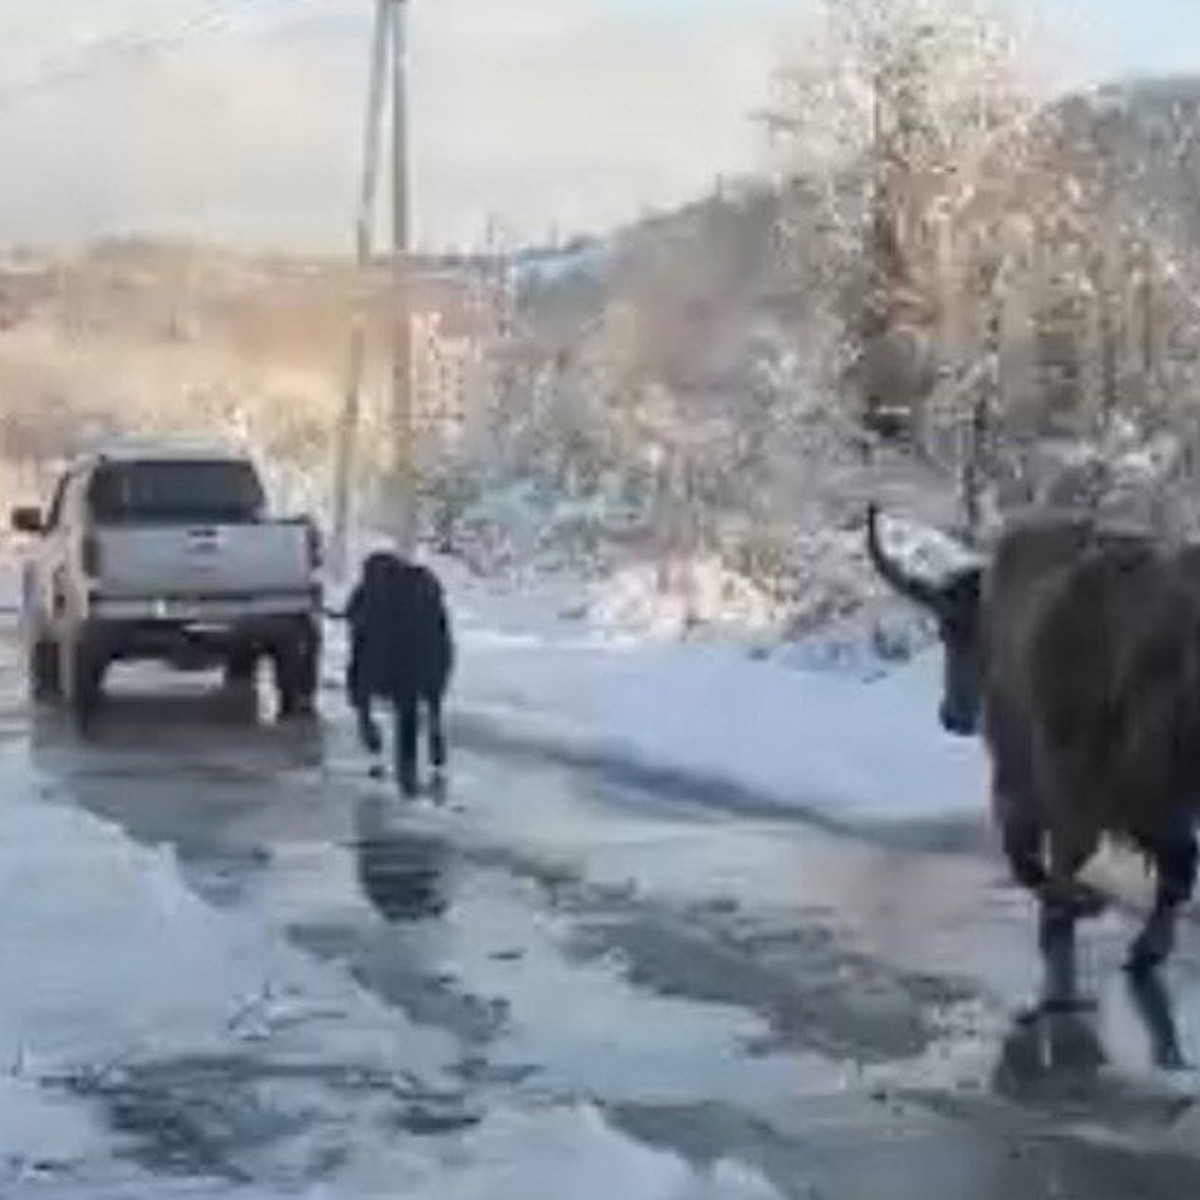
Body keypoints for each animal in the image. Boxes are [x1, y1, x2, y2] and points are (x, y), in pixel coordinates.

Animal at [868, 501, 1200, 1008]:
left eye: (948, 630)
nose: (951, 715)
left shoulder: (1029, 769)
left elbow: (1028, 851)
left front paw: (1076, 906)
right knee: (1174, 864)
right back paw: (1139, 946)